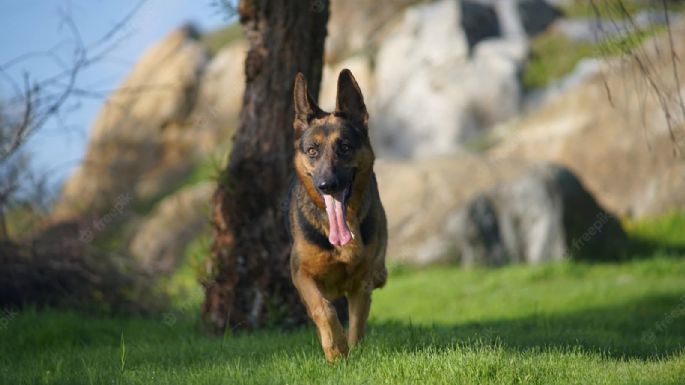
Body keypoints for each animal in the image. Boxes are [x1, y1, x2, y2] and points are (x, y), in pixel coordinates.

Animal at [288, 68, 384, 360]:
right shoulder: (301, 273)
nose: (327, 185)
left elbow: (357, 322)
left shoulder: (361, 283)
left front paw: (352, 348)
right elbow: (324, 308)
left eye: (345, 147)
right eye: (312, 151)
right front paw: (335, 348)